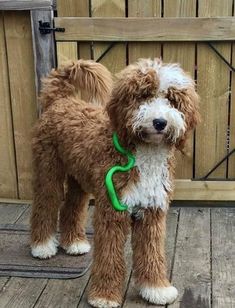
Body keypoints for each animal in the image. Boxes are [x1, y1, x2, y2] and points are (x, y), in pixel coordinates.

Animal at [30, 58, 199, 308]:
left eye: (171, 99)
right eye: (144, 95)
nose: (160, 122)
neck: (143, 152)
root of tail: (60, 100)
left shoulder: (152, 211)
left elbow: (152, 251)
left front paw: (156, 288)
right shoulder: (112, 210)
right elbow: (109, 254)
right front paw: (105, 296)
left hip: (79, 180)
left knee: (71, 207)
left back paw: (74, 243)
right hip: (48, 171)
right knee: (45, 204)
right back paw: (41, 246)